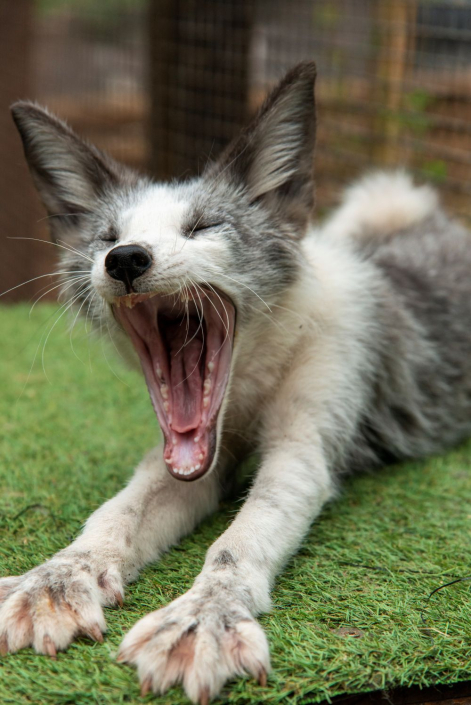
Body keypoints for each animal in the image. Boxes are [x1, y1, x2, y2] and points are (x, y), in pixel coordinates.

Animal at [1, 63, 470, 700]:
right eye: (106, 236)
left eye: (203, 226)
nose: (125, 259)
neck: (253, 374)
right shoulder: (190, 459)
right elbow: (117, 511)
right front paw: (54, 578)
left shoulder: (305, 447)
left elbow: (238, 541)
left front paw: (201, 617)